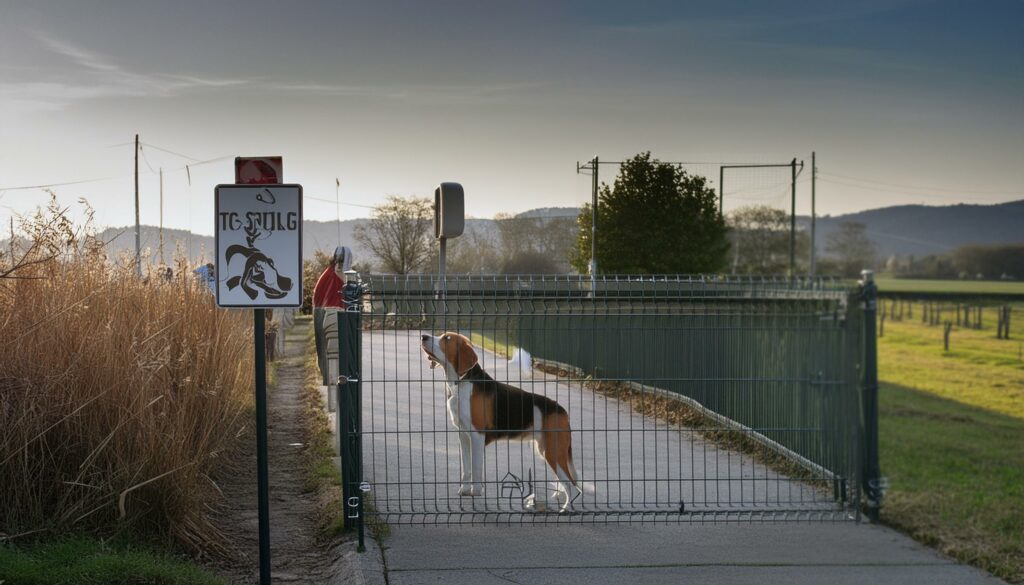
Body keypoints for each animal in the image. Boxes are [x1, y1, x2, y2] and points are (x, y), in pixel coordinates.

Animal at [419, 333, 581, 512]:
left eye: (447, 338)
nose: (423, 336)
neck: (462, 382)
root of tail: (562, 410)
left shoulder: (476, 436)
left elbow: (475, 468)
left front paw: (476, 492)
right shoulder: (464, 436)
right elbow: (466, 468)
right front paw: (465, 490)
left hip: (553, 452)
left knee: (573, 487)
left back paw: (566, 509)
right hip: (547, 450)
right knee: (565, 483)